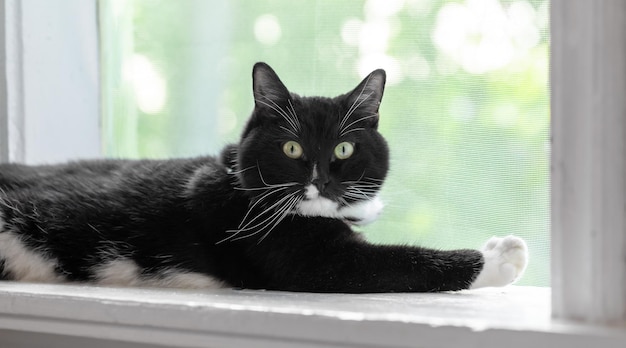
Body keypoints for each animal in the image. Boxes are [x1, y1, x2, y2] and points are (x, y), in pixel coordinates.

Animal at [0, 62, 528, 290]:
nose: (320, 179)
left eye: (344, 148)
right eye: (292, 147)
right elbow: (397, 262)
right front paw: (498, 257)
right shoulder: (293, 255)